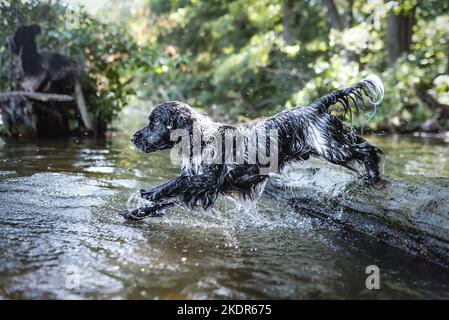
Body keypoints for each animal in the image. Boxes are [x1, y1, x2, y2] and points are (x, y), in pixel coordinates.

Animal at [118, 75, 382, 220]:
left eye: (154, 122)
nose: (132, 138)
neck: (201, 139)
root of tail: (316, 106)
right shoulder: (199, 188)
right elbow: (167, 199)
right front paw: (134, 213)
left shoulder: (208, 181)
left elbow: (176, 182)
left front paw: (152, 191)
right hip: (335, 144)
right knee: (362, 144)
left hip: (331, 148)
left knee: (367, 150)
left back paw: (373, 175)